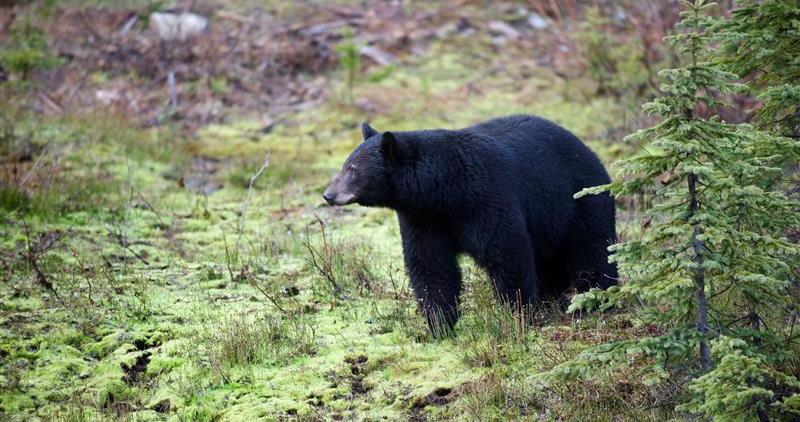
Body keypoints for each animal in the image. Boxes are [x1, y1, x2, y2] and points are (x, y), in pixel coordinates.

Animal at [322, 115, 616, 332]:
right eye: (346, 165)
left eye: (352, 169)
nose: (328, 194)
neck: (443, 191)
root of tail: (588, 150)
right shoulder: (422, 218)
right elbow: (430, 265)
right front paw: (439, 325)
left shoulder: (485, 198)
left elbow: (506, 252)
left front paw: (520, 315)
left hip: (580, 200)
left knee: (592, 251)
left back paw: (596, 299)